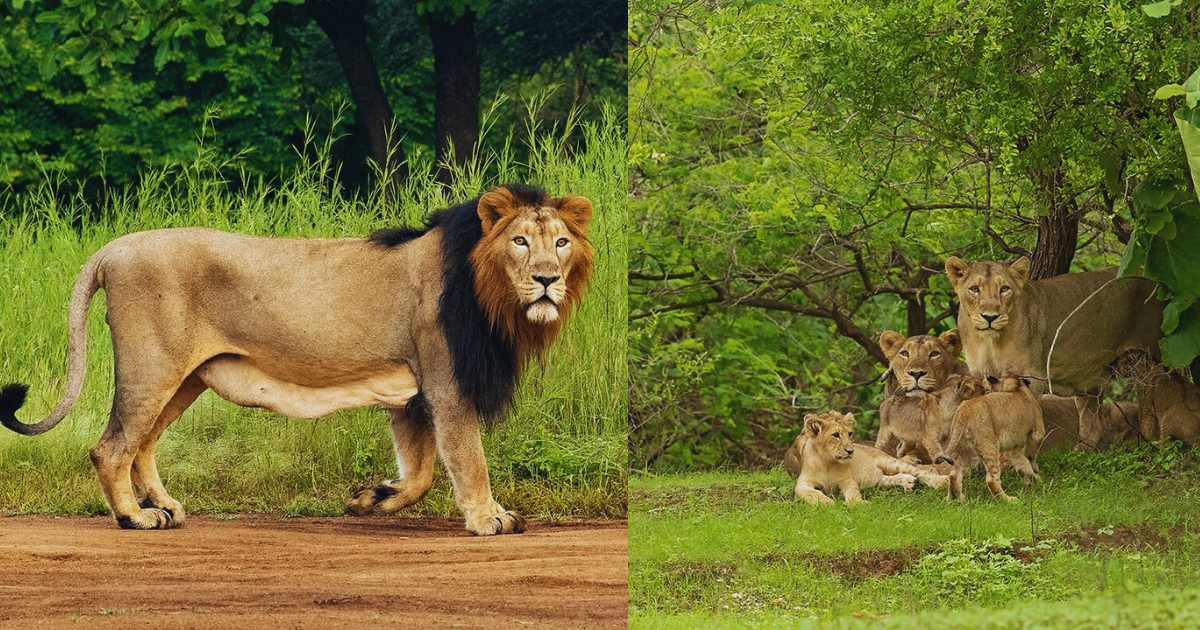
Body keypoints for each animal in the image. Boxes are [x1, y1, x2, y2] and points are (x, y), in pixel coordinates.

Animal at [0, 185, 594, 534]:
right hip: (152, 367)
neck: (491, 294)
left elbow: (421, 472)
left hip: (186, 377)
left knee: (141, 444)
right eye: (520, 241)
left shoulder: (410, 392)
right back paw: (133, 518)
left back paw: (163, 508)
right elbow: (468, 458)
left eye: (561, 243)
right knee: (111, 446)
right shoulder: (446, 381)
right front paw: (489, 517)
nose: (548, 280)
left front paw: (371, 499)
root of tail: (111, 249)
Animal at [791, 411, 948, 505]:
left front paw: (860, 504)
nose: (850, 451)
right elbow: (810, 493)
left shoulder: (847, 481)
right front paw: (827, 502)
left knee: (920, 471)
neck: (827, 462)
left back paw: (942, 482)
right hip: (877, 480)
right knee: (889, 478)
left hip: (890, 462)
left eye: (850, 434)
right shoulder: (802, 483)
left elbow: (853, 493)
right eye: (836, 435)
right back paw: (907, 482)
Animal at [935, 374, 1045, 502]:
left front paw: (1033, 481)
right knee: (991, 479)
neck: (1018, 387)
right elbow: (1030, 457)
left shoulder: (1014, 449)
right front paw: (1037, 477)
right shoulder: (1038, 433)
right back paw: (1008, 499)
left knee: (953, 475)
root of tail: (964, 411)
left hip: (963, 449)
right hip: (989, 446)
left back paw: (955, 499)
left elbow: (1023, 464)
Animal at [944, 255, 1161, 449]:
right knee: (1092, 423)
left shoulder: (1031, 378)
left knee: (1151, 401)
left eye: (1004, 289)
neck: (989, 342)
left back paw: (1150, 443)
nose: (990, 317)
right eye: (974, 289)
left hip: (1148, 356)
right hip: (1090, 377)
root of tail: (1153, 280)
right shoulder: (983, 376)